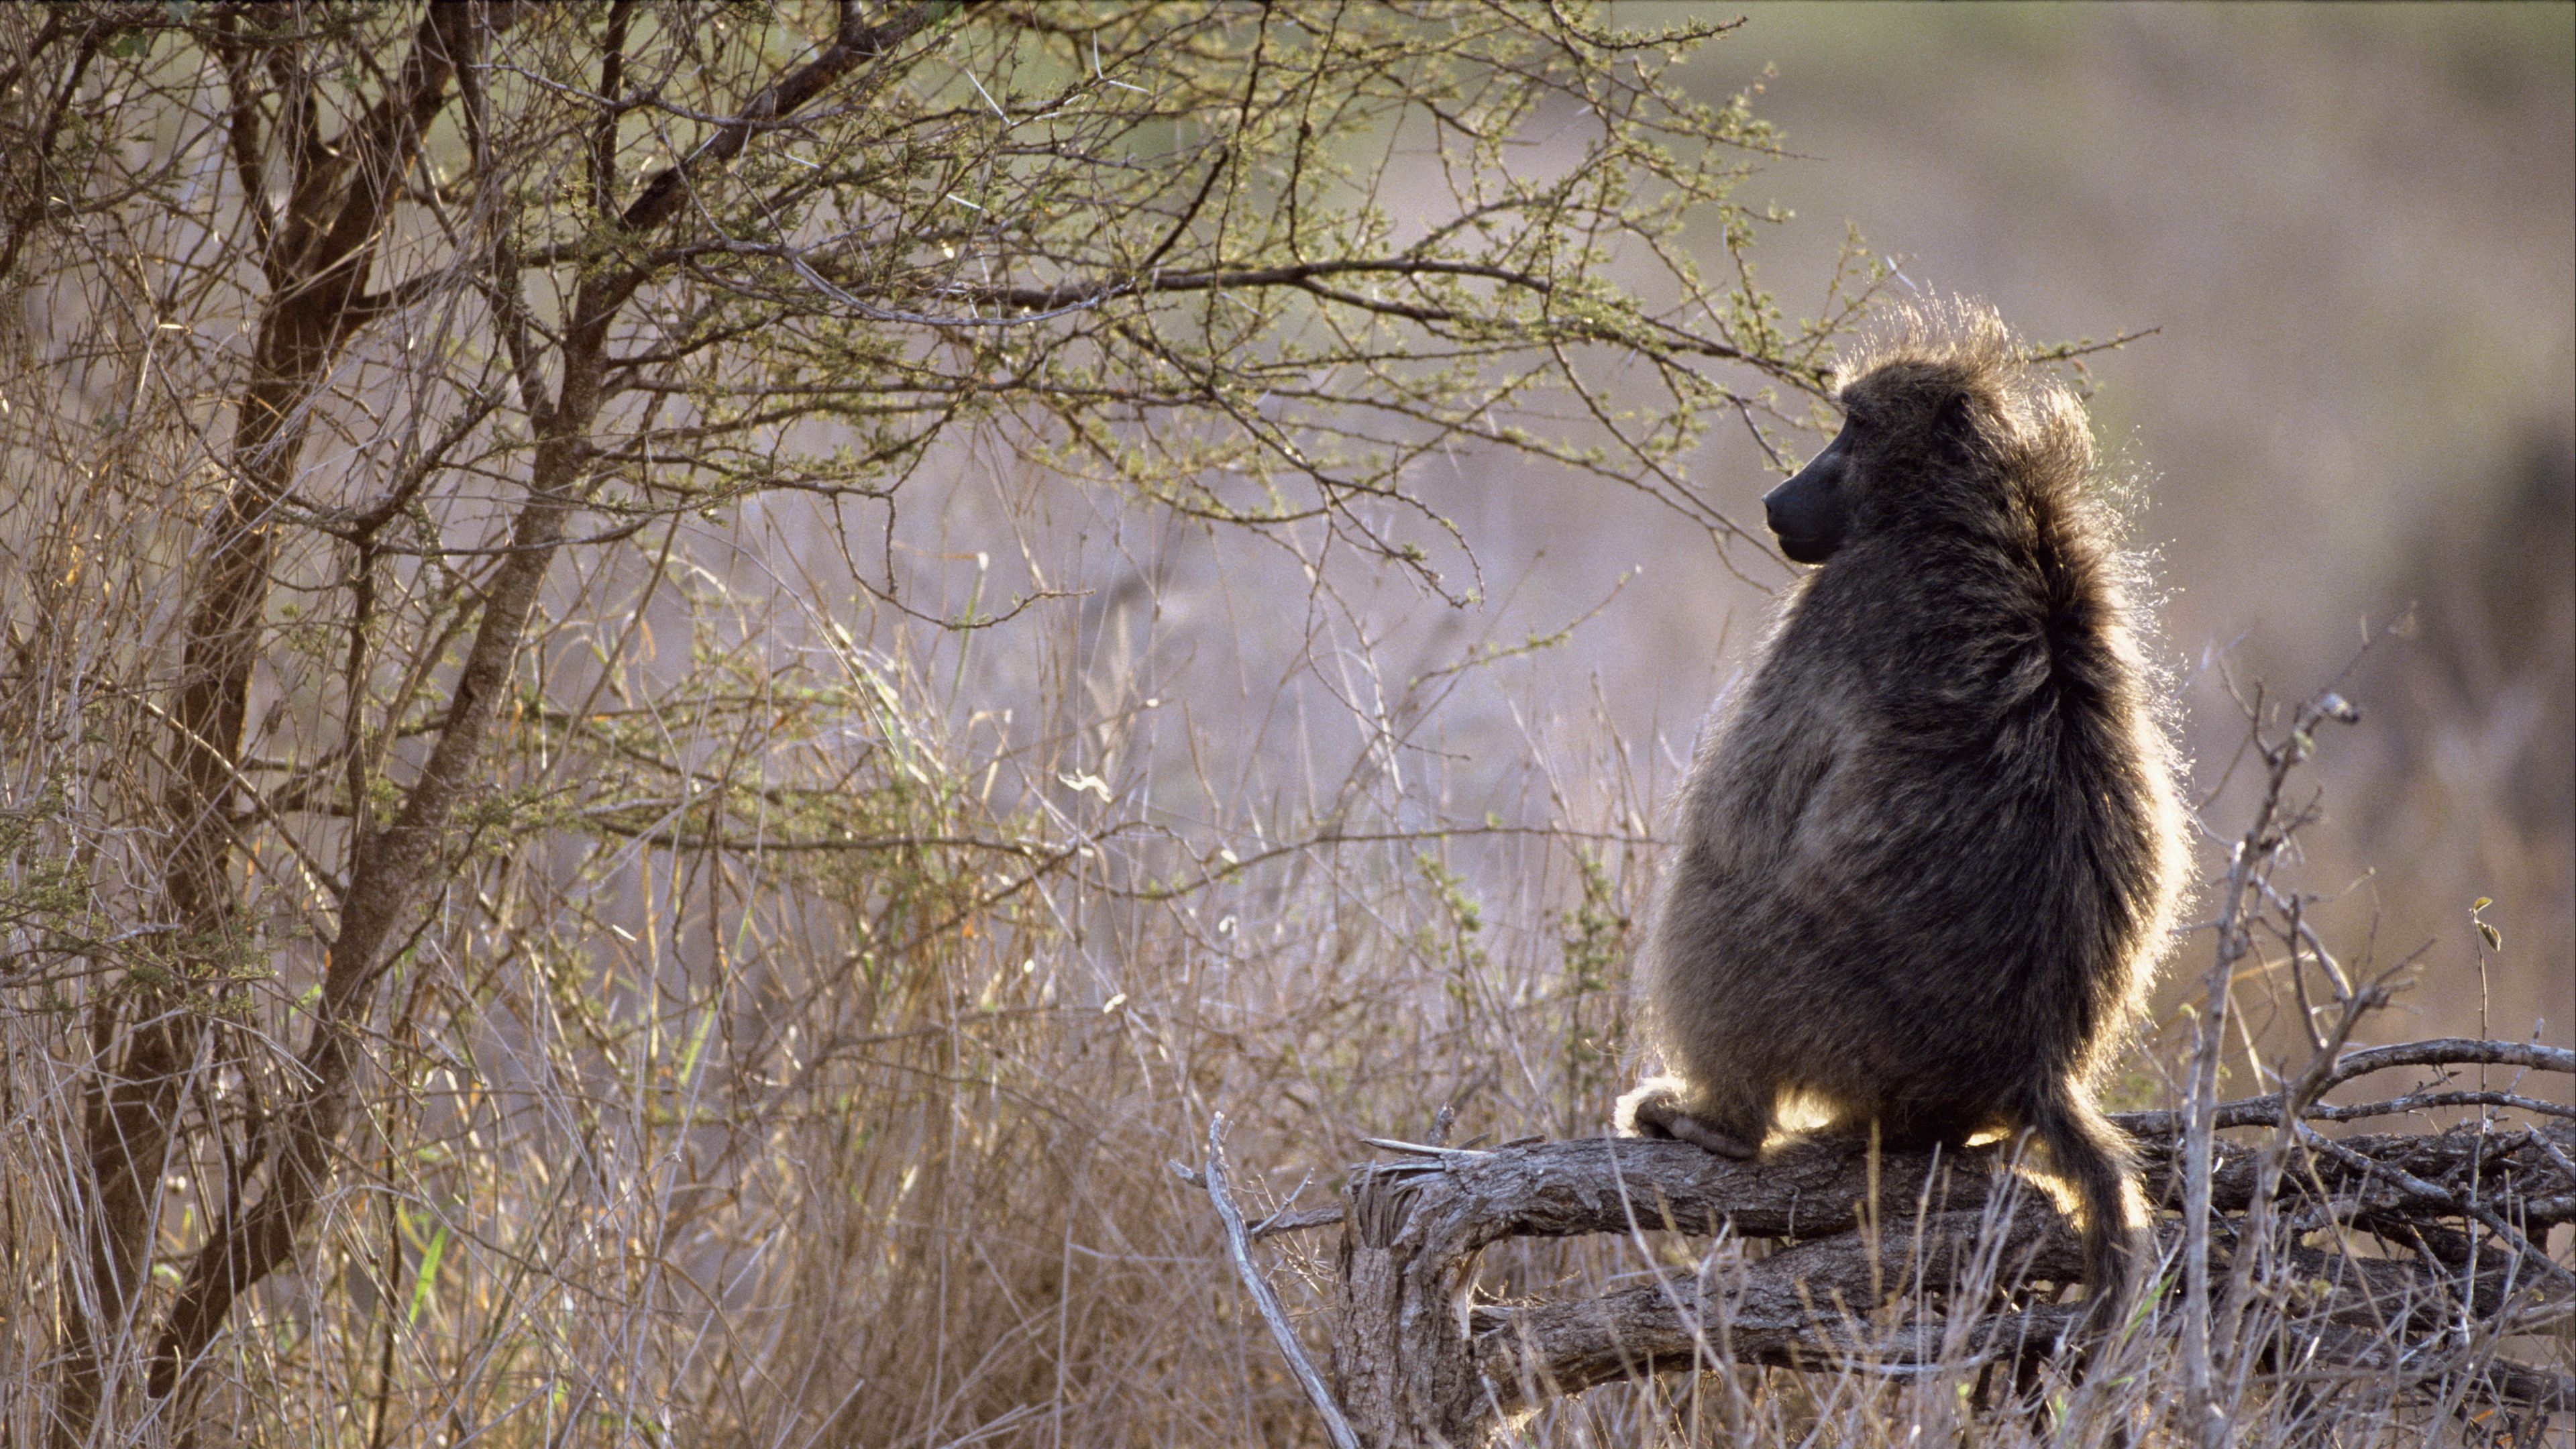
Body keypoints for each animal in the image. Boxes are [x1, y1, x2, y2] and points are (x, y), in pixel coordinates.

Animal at [1618, 300, 2189, 1336]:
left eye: (1851, 426)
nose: (1777, 500)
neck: (1991, 509)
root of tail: (2036, 1065)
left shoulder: (1846, 598)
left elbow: (1736, 821)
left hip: (1814, 1006)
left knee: (1715, 900)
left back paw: (1717, 1124)